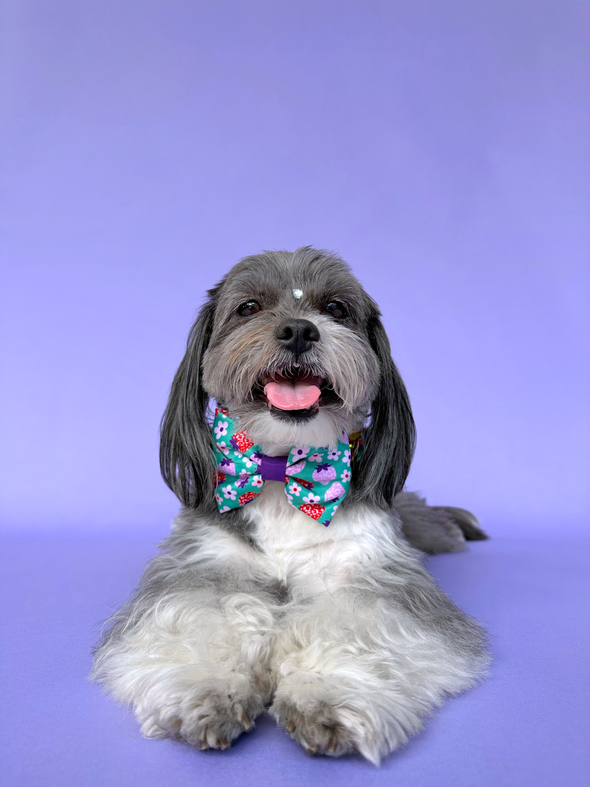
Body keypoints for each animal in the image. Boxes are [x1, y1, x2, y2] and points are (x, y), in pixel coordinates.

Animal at [92, 246, 490, 764]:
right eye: (248, 308)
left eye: (337, 308)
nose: (299, 329)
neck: (283, 473)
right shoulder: (203, 568)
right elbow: (201, 619)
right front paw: (209, 690)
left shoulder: (369, 576)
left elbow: (355, 624)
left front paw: (325, 695)